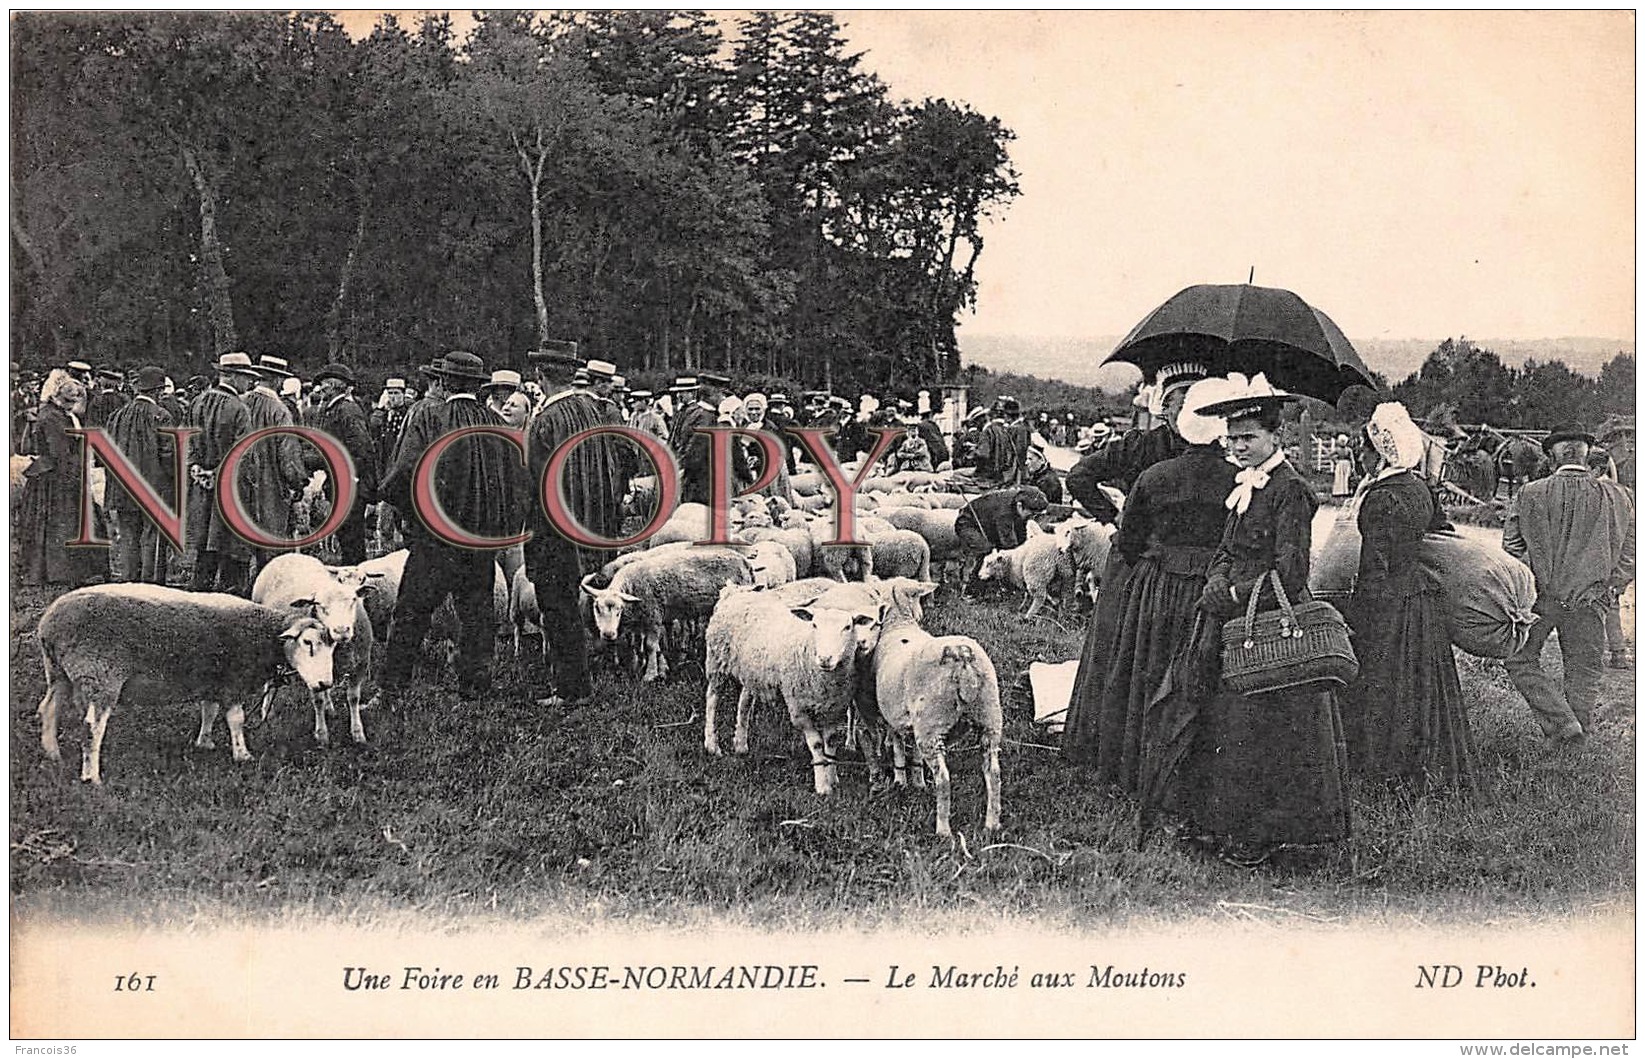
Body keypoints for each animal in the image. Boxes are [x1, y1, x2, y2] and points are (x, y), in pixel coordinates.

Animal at [35, 582, 335, 782]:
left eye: (332, 646)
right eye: (308, 643)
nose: (324, 684)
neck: (263, 635)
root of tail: (49, 623)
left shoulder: (213, 679)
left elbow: (209, 711)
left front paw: (205, 742)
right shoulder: (233, 681)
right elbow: (235, 720)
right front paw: (242, 755)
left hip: (60, 672)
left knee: (49, 709)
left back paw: (52, 754)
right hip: (100, 676)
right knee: (92, 728)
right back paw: (91, 777)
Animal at [250, 555, 381, 743]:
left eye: (353, 600)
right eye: (319, 605)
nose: (341, 630)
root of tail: (288, 555)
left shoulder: (360, 664)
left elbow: (353, 698)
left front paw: (357, 733)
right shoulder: (310, 668)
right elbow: (317, 700)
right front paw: (322, 735)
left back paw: (330, 708)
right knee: (271, 678)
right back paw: (266, 711)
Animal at [582, 542, 753, 684]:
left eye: (619, 610)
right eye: (597, 608)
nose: (608, 634)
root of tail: (744, 561)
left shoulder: (653, 616)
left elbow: (650, 646)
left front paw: (650, 674)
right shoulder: (641, 622)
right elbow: (646, 646)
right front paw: (654, 667)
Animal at [704, 588, 888, 795]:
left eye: (848, 627)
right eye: (814, 625)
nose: (825, 658)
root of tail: (736, 591)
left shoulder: (834, 707)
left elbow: (831, 742)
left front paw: (833, 778)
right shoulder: (799, 709)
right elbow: (817, 745)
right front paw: (822, 785)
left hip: (751, 671)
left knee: (744, 702)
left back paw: (741, 745)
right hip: (717, 659)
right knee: (712, 699)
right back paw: (712, 745)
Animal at [861, 578, 1000, 835]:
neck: (900, 624)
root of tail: (961, 657)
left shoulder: (894, 716)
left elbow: (897, 746)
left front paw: (901, 780)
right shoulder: (912, 721)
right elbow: (911, 751)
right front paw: (917, 781)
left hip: (932, 723)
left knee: (943, 779)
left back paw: (943, 830)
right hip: (989, 717)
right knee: (993, 773)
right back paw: (992, 824)